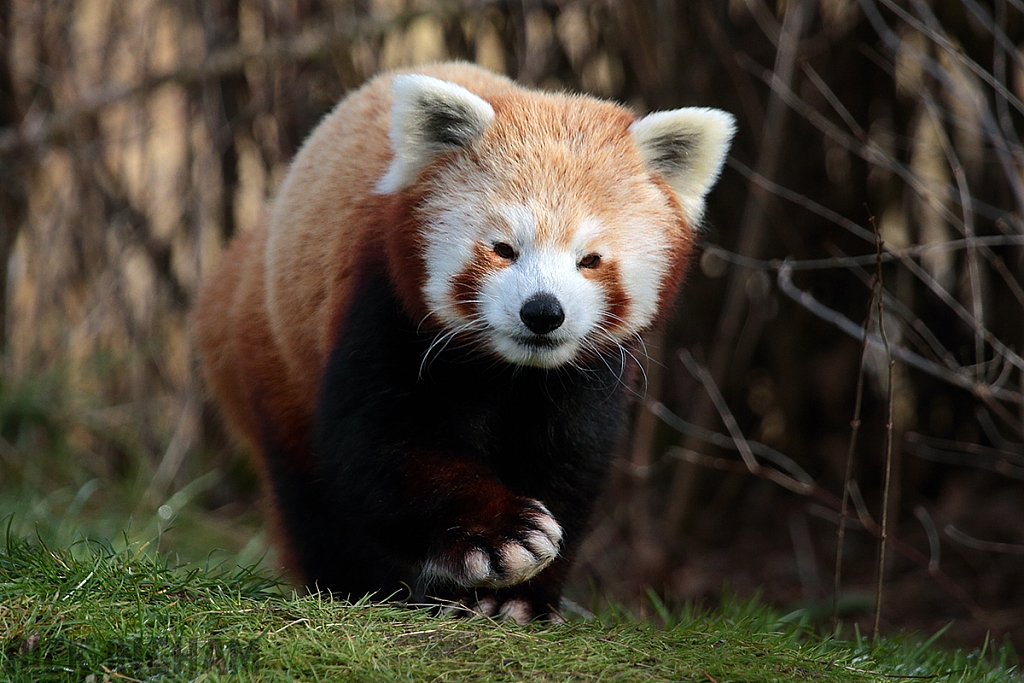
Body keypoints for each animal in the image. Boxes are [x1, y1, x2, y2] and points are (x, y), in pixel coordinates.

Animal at [193, 61, 737, 622]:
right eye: (504, 249)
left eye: (590, 260)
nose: (543, 312)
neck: (509, 370)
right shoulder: (383, 311)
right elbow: (383, 449)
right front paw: (501, 536)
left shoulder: (590, 375)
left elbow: (571, 462)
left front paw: (521, 598)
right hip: (277, 360)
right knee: (313, 499)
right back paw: (358, 584)